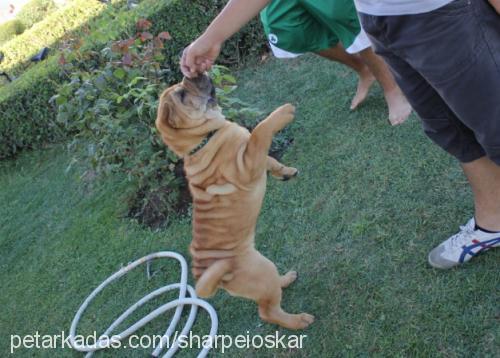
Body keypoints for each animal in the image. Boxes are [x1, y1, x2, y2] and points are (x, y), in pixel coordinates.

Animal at [155, 74, 312, 328]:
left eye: (181, 86)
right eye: (182, 94)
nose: (192, 74)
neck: (203, 140)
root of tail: (218, 280)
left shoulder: (252, 156)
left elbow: (268, 158)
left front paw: (285, 172)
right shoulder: (246, 163)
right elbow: (260, 131)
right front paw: (283, 113)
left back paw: (286, 278)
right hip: (261, 271)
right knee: (268, 311)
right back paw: (299, 320)